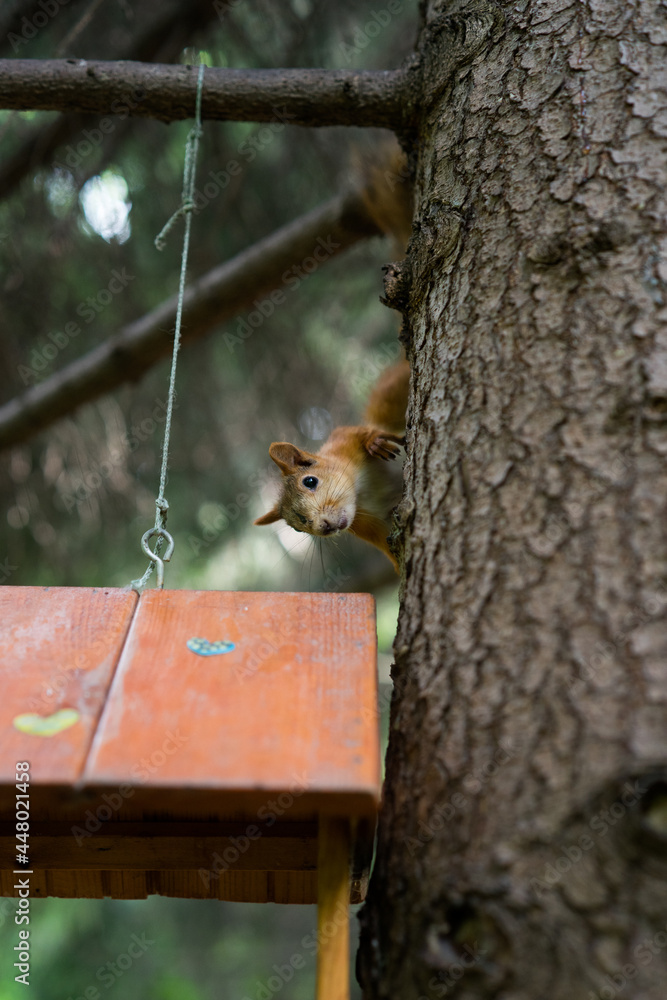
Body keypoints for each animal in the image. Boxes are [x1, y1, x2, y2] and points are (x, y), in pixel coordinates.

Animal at [254, 141, 412, 572]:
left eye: (310, 479)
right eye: (296, 524)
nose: (325, 526)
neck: (364, 490)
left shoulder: (341, 441)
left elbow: (361, 431)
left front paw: (377, 442)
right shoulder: (372, 525)